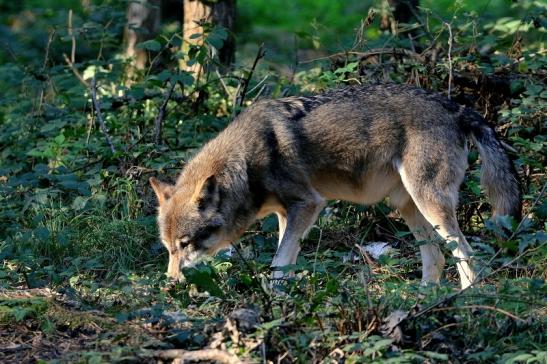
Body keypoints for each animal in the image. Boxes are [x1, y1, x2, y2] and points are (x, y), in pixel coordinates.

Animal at [150, 84, 524, 288]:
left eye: (185, 244)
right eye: (168, 248)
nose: (171, 283)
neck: (246, 163)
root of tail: (455, 107)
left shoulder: (308, 204)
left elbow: (278, 265)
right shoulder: (287, 214)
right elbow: (287, 261)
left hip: (430, 204)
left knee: (466, 254)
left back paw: (466, 297)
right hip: (408, 207)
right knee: (437, 258)